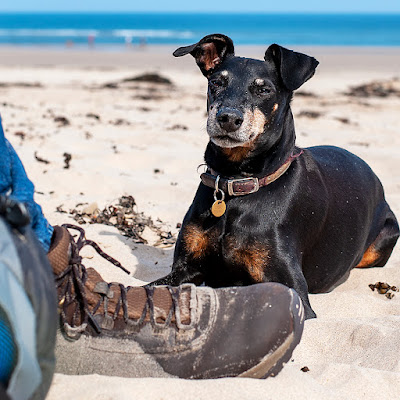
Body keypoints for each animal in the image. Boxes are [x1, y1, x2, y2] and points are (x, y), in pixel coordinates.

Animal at [149, 33, 396, 318]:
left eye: (264, 90)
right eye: (216, 83)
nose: (227, 118)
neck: (237, 181)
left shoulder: (292, 290)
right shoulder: (185, 270)